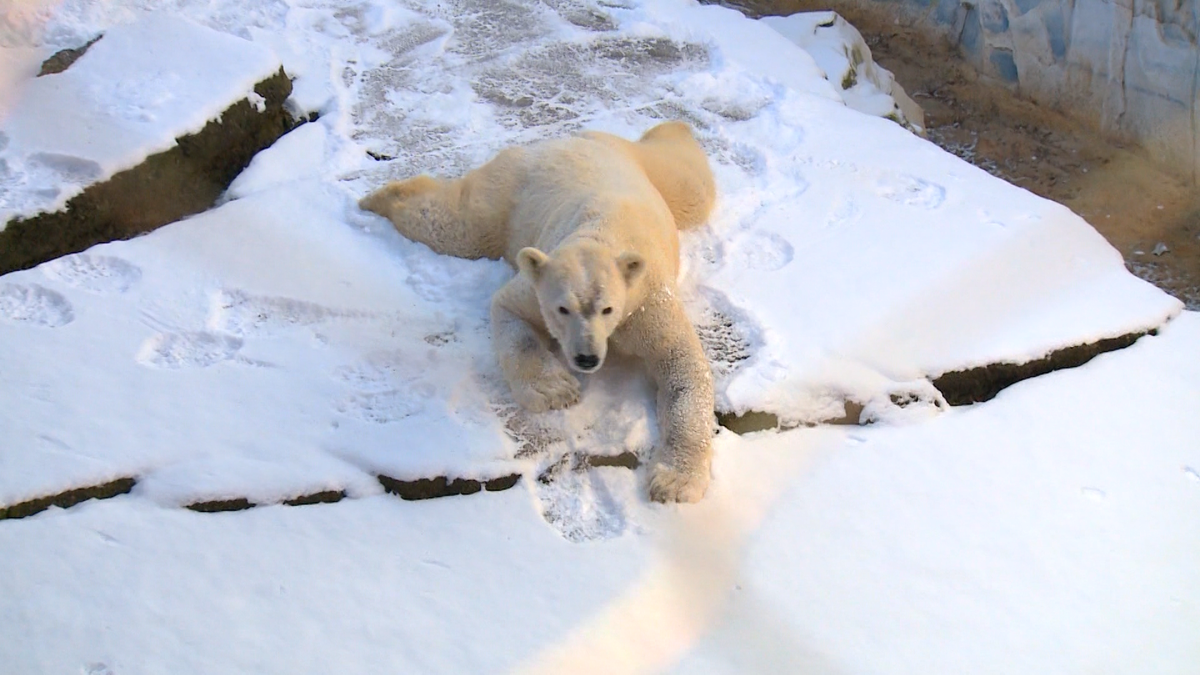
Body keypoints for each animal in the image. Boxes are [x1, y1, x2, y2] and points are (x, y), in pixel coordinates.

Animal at [359, 121, 717, 503]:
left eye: (607, 308)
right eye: (563, 308)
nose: (587, 358)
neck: (604, 235)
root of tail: (570, 139)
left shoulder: (644, 300)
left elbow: (681, 365)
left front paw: (673, 484)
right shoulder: (540, 283)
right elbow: (510, 309)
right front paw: (556, 389)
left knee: (688, 186)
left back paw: (675, 127)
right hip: (510, 193)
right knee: (459, 227)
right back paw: (378, 198)